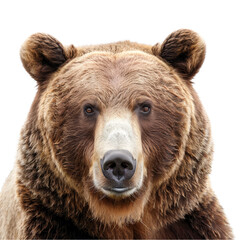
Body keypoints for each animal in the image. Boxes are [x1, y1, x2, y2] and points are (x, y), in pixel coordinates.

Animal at [0, 29, 232, 238]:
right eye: (89, 108)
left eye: (145, 106)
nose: (118, 162)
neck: (121, 217)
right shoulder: (47, 221)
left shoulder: (192, 223)